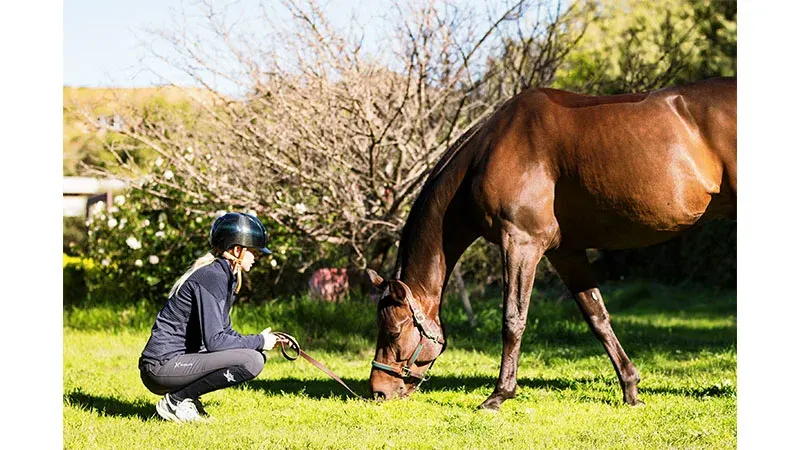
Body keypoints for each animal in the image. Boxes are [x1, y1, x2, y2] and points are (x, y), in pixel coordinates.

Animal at [366, 78, 736, 412]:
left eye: (393, 332)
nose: (378, 391)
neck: (490, 150)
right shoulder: (565, 253)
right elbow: (597, 317)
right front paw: (630, 389)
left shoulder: (521, 243)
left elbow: (513, 319)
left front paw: (499, 395)